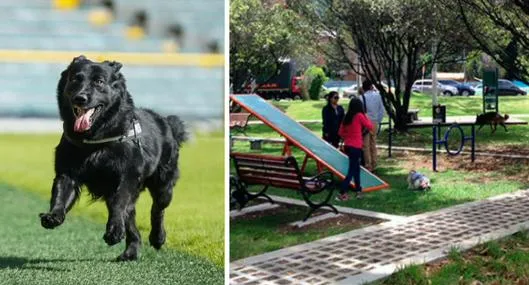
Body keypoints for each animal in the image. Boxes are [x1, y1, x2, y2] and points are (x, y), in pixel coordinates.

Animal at [37, 55, 186, 260]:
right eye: (75, 79)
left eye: (99, 82)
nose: (80, 98)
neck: (95, 141)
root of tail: (166, 122)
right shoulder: (67, 173)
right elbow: (60, 195)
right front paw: (54, 216)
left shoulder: (127, 178)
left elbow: (120, 203)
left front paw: (114, 230)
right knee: (131, 220)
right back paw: (131, 251)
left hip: (163, 185)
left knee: (157, 209)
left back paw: (156, 237)